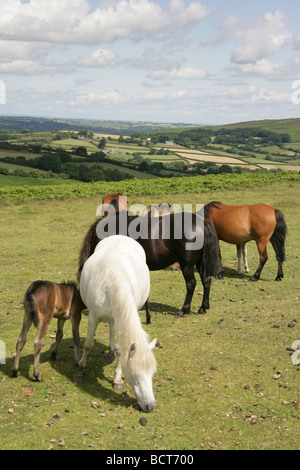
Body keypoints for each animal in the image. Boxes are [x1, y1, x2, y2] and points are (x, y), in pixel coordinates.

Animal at [74, 235, 157, 412]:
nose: (150, 406)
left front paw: (117, 379)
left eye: (152, 374)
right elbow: (88, 345)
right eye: (136, 375)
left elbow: (121, 349)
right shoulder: (92, 317)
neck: (112, 279)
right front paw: (80, 370)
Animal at [76, 210, 219, 324]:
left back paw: (183, 310)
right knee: (206, 280)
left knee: (191, 284)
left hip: (187, 265)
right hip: (200, 262)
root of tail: (201, 223)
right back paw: (203, 307)